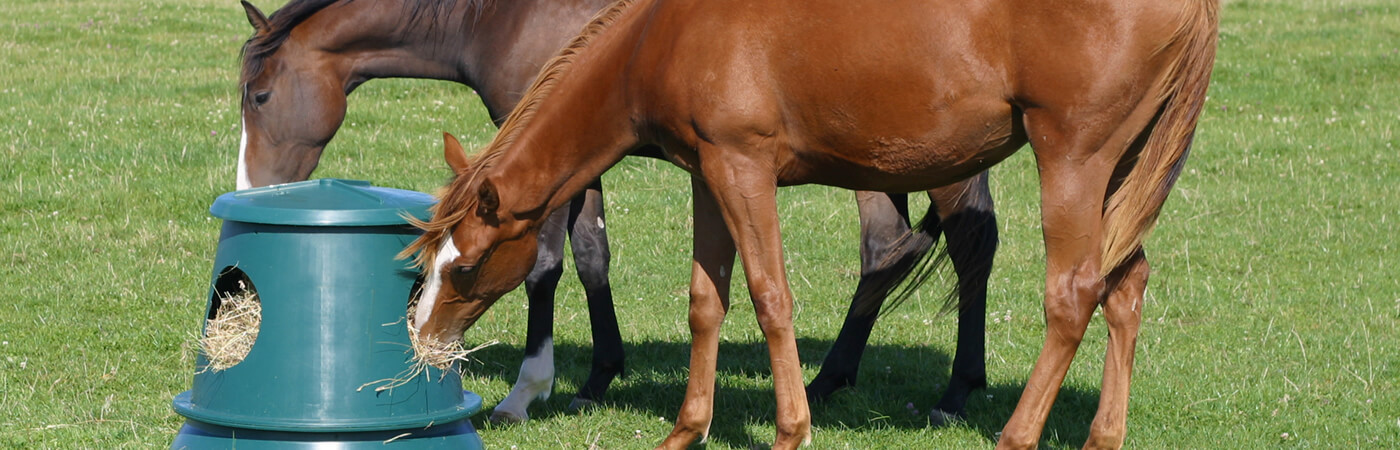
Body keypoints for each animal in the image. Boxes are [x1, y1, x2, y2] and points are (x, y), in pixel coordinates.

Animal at [240, 0, 1008, 423]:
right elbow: (592, 256)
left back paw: (954, 392)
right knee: (891, 249)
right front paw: (597, 376)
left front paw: (529, 390)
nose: (249, 189)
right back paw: (831, 378)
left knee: (967, 243)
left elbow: (549, 265)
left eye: (260, 96)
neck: (503, 13)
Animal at [408, 0, 1220, 445]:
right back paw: (1102, 436)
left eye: (466, 265)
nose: (422, 340)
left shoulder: (744, 170)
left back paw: (1014, 434)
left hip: (1073, 160)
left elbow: (771, 299)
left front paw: (789, 430)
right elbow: (707, 302)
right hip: (1119, 171)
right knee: (1126, 285)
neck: (665, 34)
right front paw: (687, 430)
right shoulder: (708, 176)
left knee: (1074, 294)